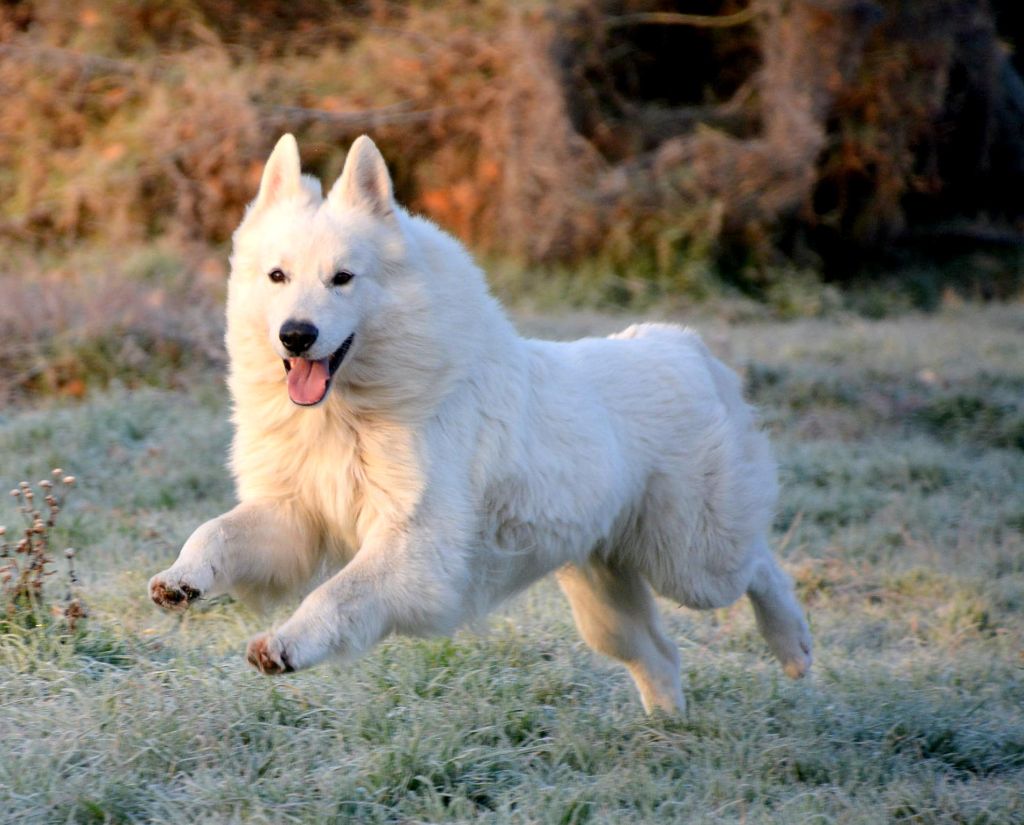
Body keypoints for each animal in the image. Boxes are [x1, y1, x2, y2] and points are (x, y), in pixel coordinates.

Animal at [148, 134, 811, 712]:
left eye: (342, 278)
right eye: (277, 276)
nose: (296, 335)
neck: (352, 411)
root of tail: (685, 348)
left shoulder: (415, 548)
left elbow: (338, 593)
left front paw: (284, 644)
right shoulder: (292, 517)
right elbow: (215, 533)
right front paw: (180, 580)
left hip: (691, 562)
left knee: (760, 566)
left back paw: (794, 648)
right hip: (604, 592)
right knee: (659, 655)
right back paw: (667, 733)